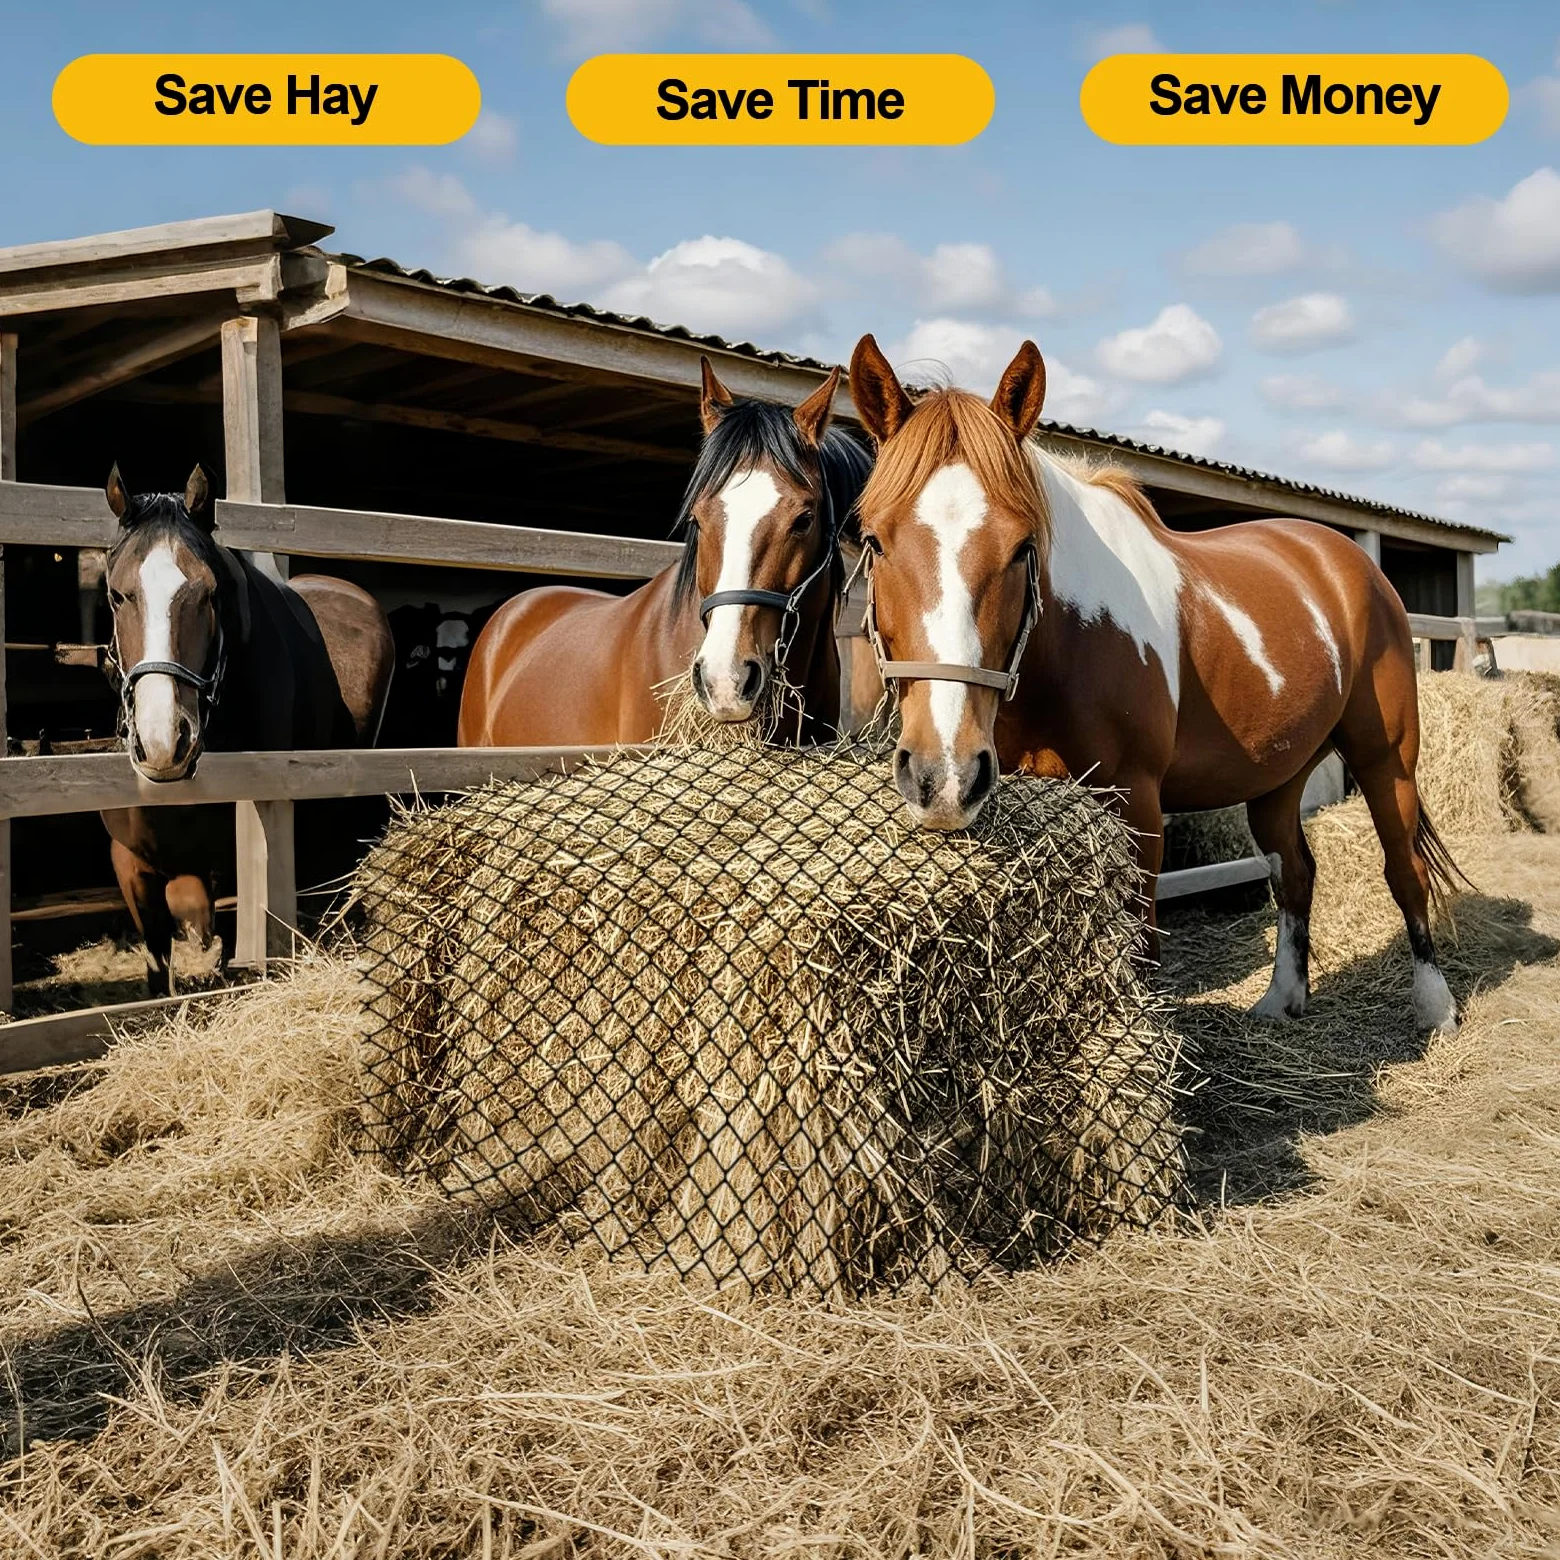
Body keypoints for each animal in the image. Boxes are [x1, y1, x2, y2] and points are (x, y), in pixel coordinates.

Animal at [847, 333, 1463, 1035]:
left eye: (1023, 547)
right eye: (874, 541)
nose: (940, 778)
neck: (1073, 641)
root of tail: (1349, 561)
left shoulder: (1138, 804)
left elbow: (1142, 951)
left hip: (1387, 758)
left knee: (1404, 868)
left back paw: (1436, 1007)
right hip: (1278, 778)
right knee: (1295, 872)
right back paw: (1281, 1000)